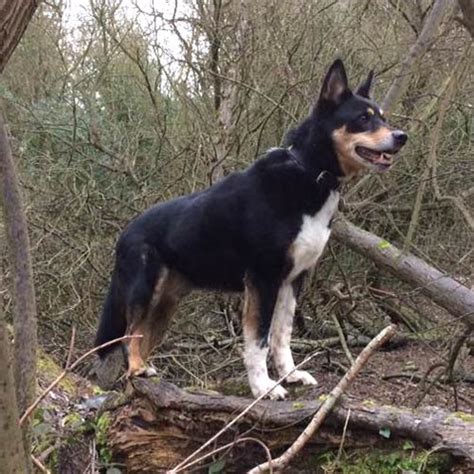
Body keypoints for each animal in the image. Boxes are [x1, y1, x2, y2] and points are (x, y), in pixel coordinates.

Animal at [95, 59, 408, 400]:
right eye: (362, 118)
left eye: (382, 117)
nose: (402, 136)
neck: (309, 172)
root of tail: (126, 232)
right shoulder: (263, 278)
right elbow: (258, 340)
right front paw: (264, 387)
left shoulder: (293, 280)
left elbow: (282, 334)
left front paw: (290, 375)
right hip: (144, 289)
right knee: (129, 334)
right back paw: (138, 368)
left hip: (167, 303)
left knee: (145, 337)